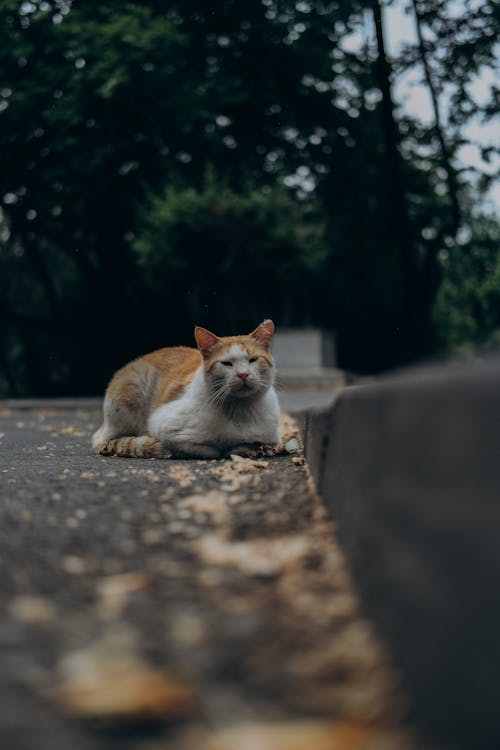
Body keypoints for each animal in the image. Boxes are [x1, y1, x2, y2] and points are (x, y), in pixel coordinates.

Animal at [93, 318, 282, 458]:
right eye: (226, 364)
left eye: (253, 360)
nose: (243, 374)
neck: (240, 410)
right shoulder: (163, 426)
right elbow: (207, 450)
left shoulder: (272, 437)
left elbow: (253, 445)